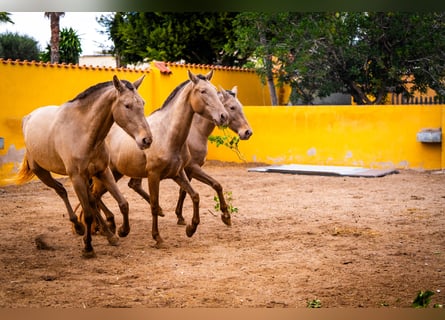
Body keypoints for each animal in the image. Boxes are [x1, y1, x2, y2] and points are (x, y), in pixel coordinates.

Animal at [14, 75, 153, 258]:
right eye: (127, 105)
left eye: (142, 103)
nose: (147, 140)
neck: (84, 133)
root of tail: (28, 117)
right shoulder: (77, 177)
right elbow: (87, 214)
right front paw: (88, 247)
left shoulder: (103, 171)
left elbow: (123, 203)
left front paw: (122, 231)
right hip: (42, 172)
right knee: (62, 191)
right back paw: (79, 226)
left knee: (91, 200)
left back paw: (108, 234)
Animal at [90, 70, 229, 249]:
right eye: (203, 91)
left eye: (214, 90)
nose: (223, 116)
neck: (168, 134)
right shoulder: (154, 176)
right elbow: (154, 206)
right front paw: (158, 238)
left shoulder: (178, 173)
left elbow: (195, 195)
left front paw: (192, 228)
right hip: (105, 175)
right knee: (93, 196)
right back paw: (108, 229)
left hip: (113, 174)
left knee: (95, 196)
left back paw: (105, 228)